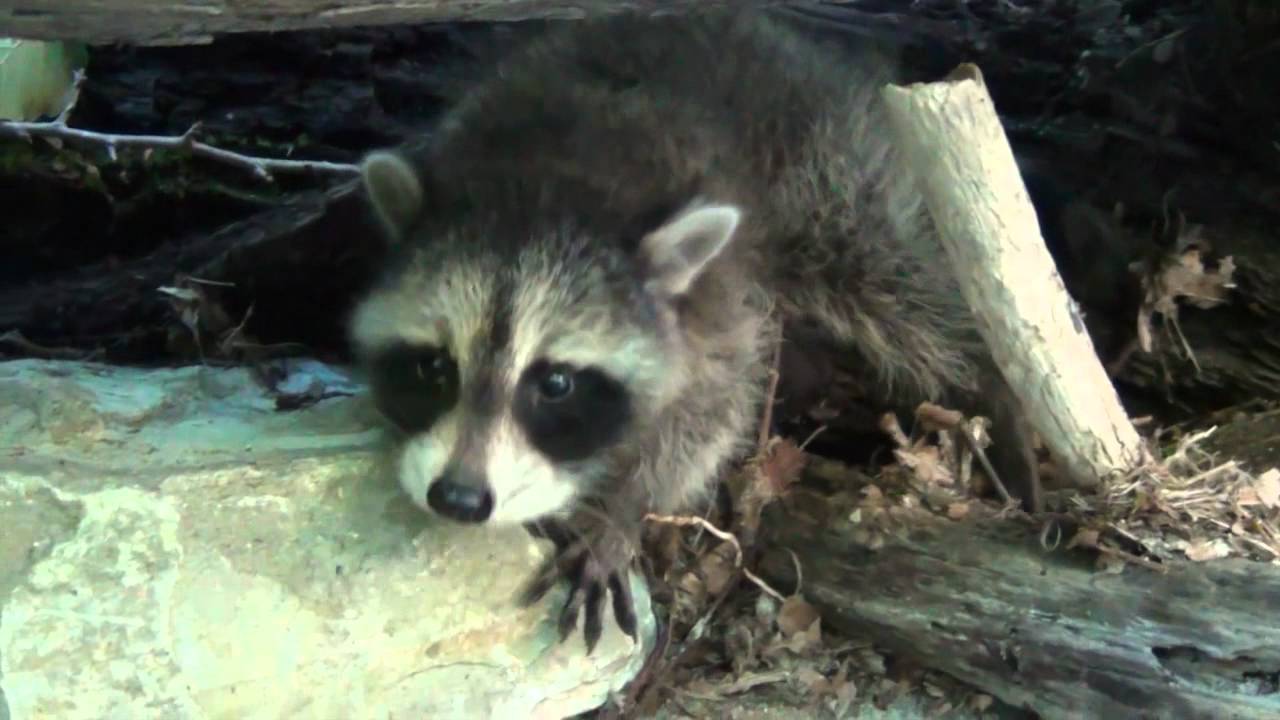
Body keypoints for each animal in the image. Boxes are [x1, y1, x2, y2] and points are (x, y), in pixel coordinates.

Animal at [348, 7, 1039, 650]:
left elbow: (707, 418)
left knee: (908, 289)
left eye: (556, 384)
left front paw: (621, 511)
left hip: (834, 183)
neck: (543, 183)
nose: (459, 499)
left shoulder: (719, 311)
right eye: (434, 366)